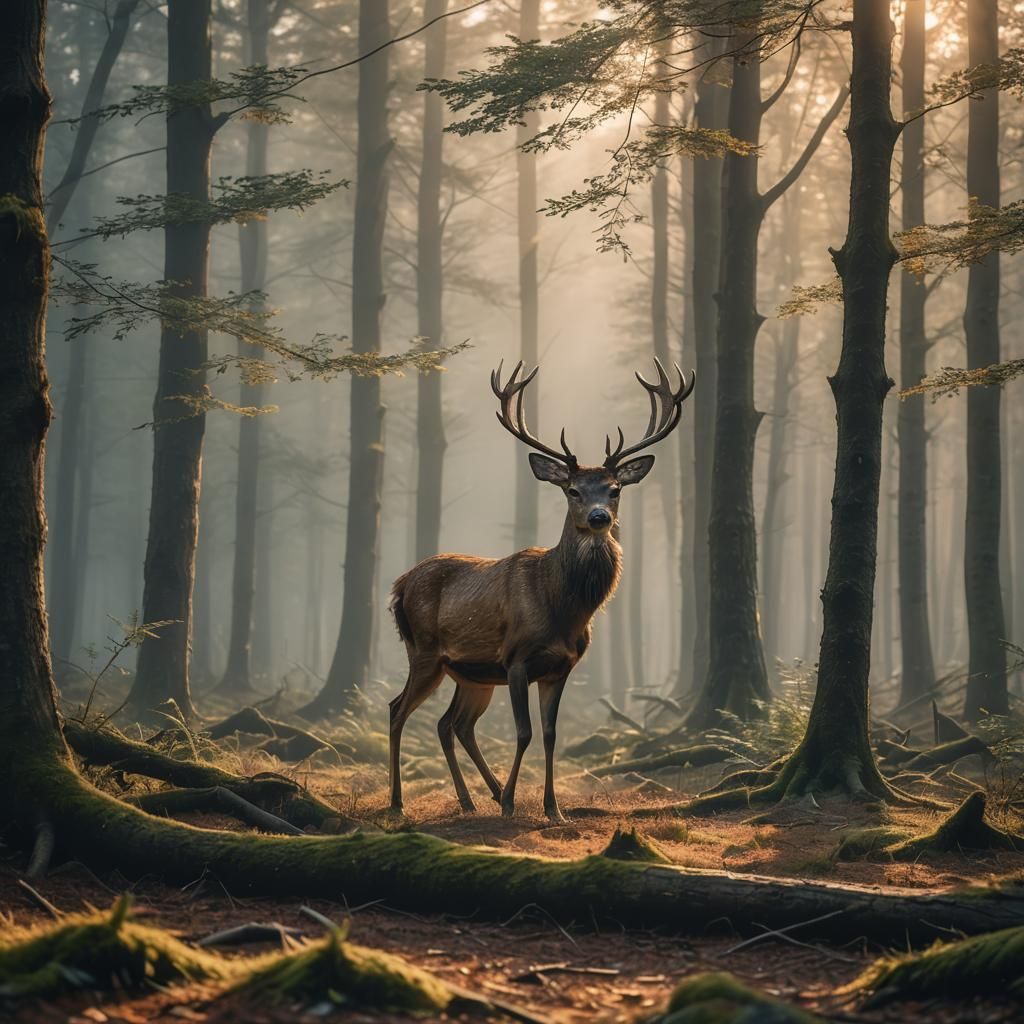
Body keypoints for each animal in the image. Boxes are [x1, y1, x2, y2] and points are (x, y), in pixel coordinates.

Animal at [387, 358, 694, 822]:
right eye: (572, 489)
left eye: (615, 489)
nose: (600, 517)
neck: (563, 610)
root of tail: (400, 584)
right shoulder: (516, 658)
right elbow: (524, 731)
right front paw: (513, 804)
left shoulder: (560, 666)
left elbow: (550, 733)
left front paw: (552, 808)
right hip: (424, 650)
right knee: (397, 711)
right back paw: (400, 803)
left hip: (471, 672)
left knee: (452, 723)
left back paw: (474, 798)